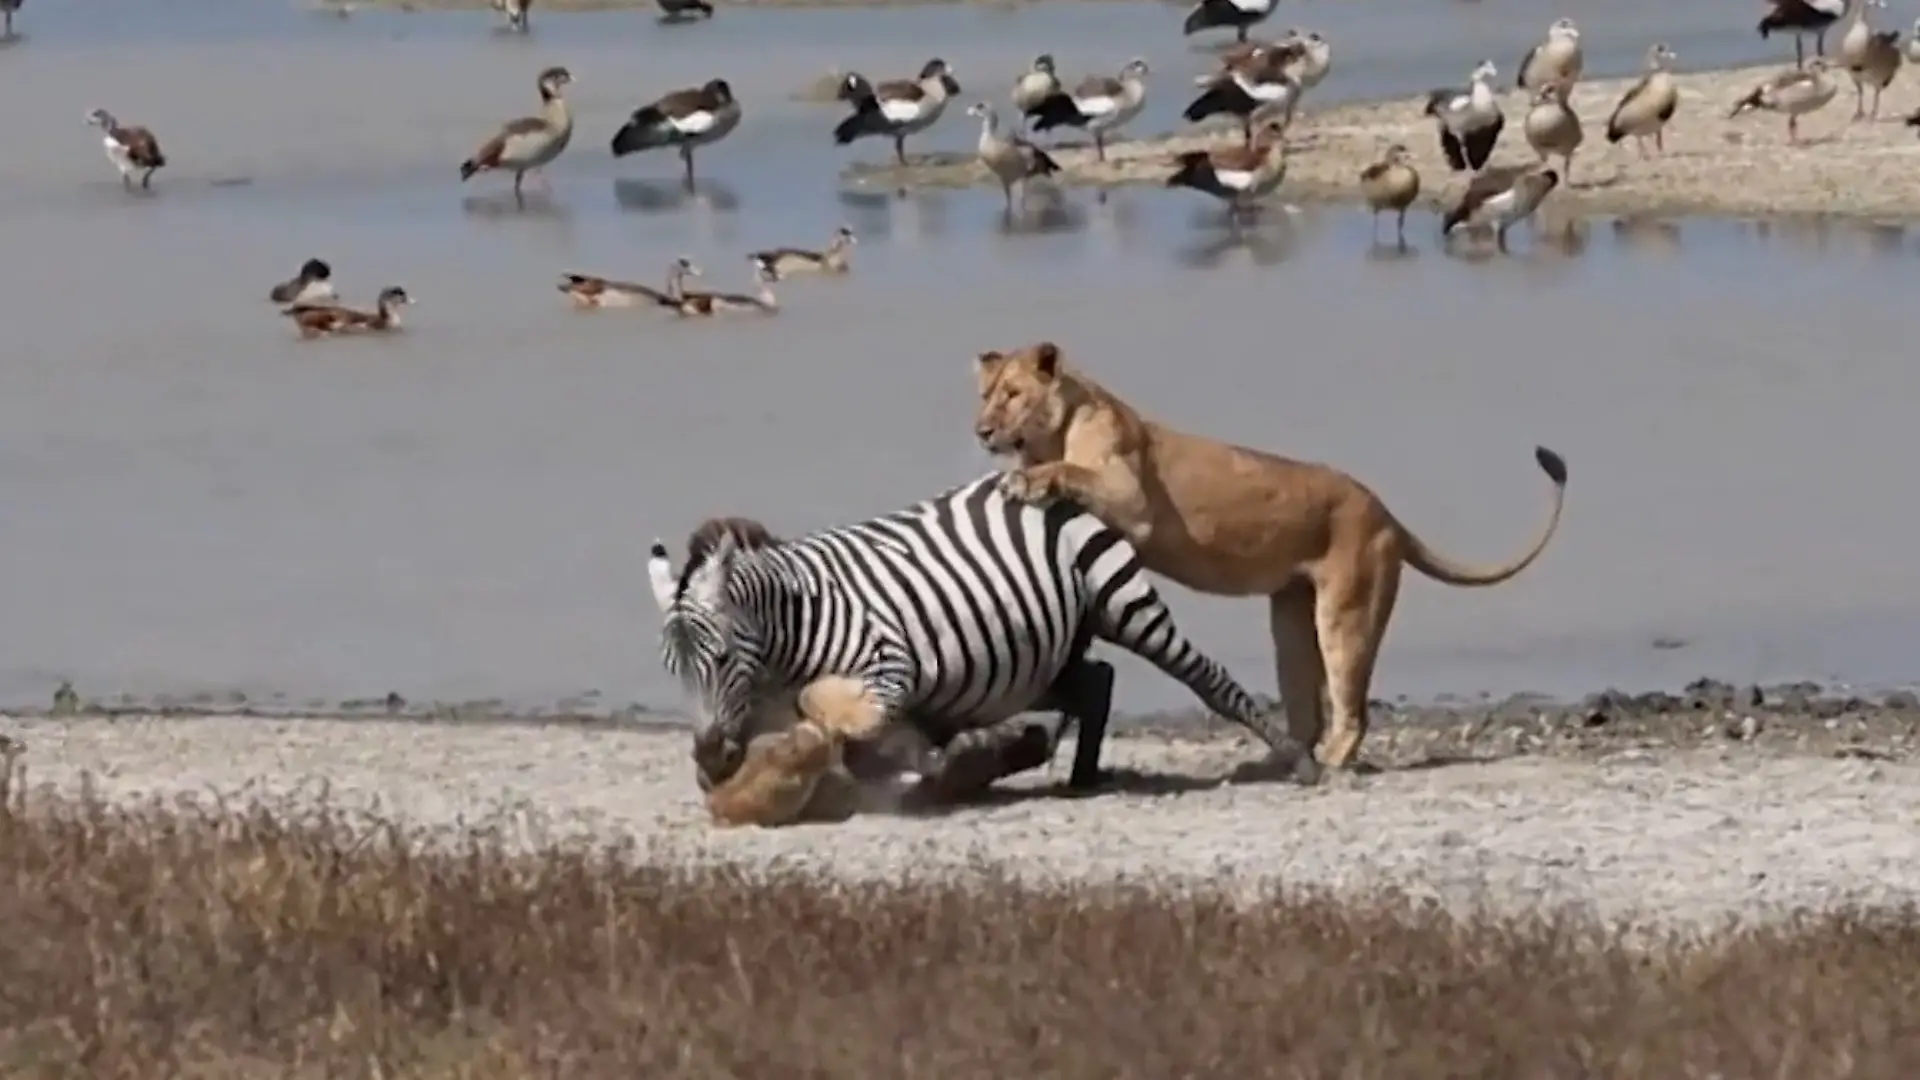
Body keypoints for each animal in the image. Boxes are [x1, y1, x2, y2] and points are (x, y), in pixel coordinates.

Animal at [647, 471, 1319, 799]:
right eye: (673, 669)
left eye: (723, 657)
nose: (709, 753)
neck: (792, 623)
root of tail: (1030, 478)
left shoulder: (891, 663)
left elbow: (854, 717)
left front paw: (940, 763)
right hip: (1031, 662)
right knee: (1096, 681)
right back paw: (1079, 776)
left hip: (1122, 603)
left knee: (1208, 679)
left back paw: (1298, 759)